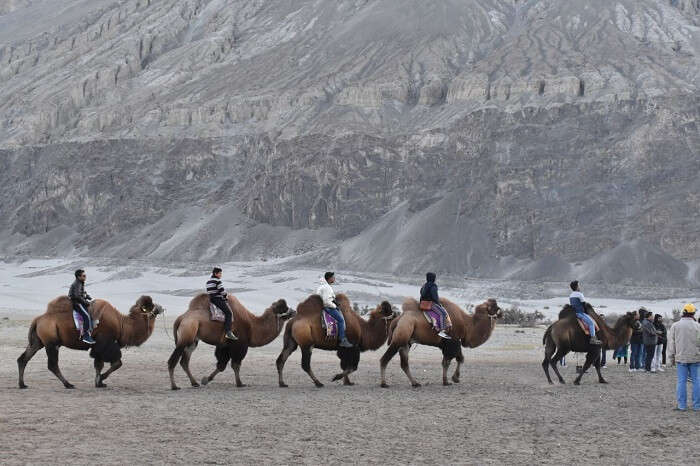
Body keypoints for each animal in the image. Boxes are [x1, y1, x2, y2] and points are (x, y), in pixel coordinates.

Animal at [17, 294, 164, 390]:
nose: (161, 307)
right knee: (52, 364)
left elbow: (99, 365)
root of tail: (37, 320)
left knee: (23, 358)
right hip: (52, 343)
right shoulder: (105, 344)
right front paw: (101, 379)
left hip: (38, 342)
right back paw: (68, 384)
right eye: (150, 306)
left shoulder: (99, 347)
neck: (122, 324)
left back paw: (22, 384)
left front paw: (99, 383)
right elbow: (116, 363)